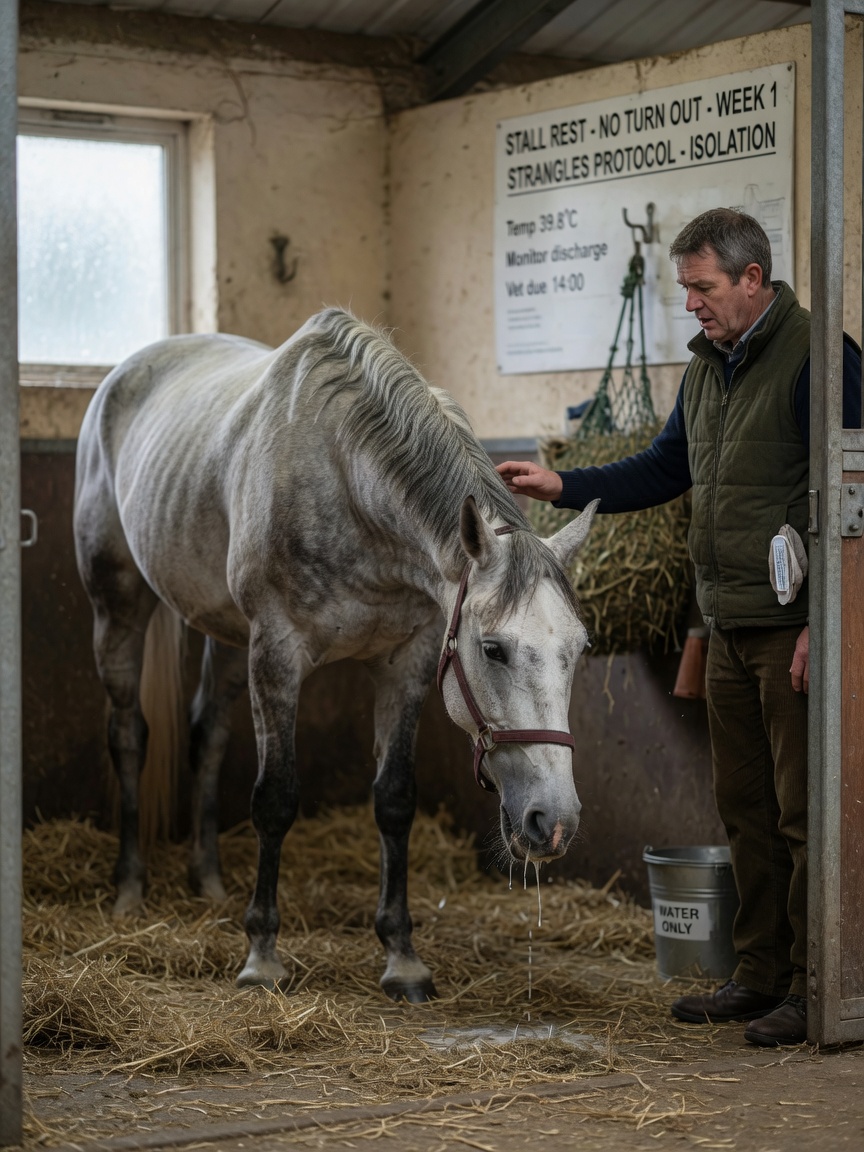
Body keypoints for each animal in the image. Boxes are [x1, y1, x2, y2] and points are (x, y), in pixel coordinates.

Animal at [73, 308, 598, 1001]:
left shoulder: (409, 662)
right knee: (129, 733)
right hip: (119, 606)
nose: (554, 821)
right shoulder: (277, 654)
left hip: (225, 631)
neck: (350, 480)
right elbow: (274, 800)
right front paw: (262, 956)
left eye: (580, 648)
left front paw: (402, 958)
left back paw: (208, 881)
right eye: (493, 649)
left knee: (206, 736)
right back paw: (130, 888)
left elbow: (395, 800)